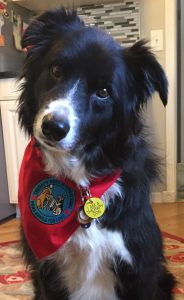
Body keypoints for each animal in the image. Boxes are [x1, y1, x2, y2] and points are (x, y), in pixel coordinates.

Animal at [18, 7, 175, 300]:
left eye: (103, 92)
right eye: (56, 70)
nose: (53, 127)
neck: (82, 185)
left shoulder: (141, 269)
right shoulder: (48, 273)